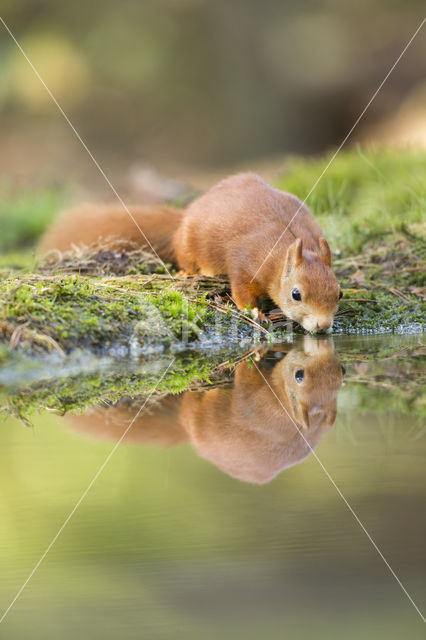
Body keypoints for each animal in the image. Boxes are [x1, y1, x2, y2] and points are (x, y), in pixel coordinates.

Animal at [39, 172, 340, 332]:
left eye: (339, 293)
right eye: (296, 294)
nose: (324, 326)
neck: (284, 245)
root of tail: (188, 213)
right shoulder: (244, 261)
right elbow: (241, 290)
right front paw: (256, 312)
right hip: (188, 245)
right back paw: (187, 271)